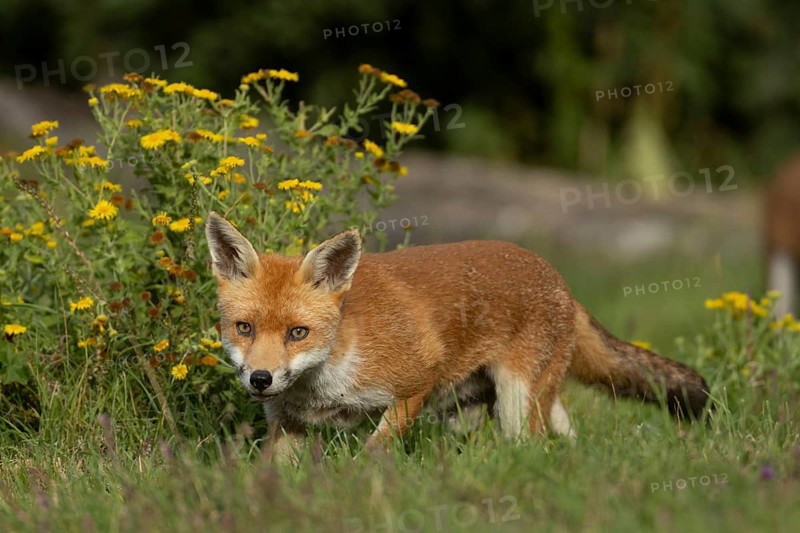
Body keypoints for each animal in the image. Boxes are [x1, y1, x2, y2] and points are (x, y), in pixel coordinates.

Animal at [205, 212, 710, 459]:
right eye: (245, 328)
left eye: (298, 332)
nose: (261, 380)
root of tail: (558, 278)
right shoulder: (287, 423)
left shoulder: (414, 382)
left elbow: (373, 451)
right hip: (486, 408)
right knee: (565, 438)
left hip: (515, 401)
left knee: (531, 448)